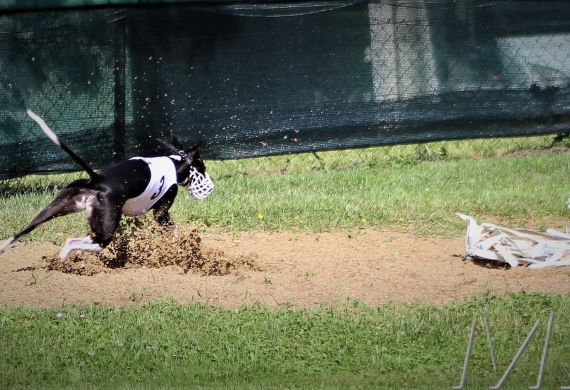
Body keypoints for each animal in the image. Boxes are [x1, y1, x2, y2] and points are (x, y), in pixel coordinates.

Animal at [0, 110, 213, 258]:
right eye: (202, 167)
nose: (210, 189)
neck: (176, 163)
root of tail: (97, 179)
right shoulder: (161, 212)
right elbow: (173, 228)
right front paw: (178, 243)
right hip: (106, 228)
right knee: (77, 242)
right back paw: (64, 256)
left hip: (53, 210)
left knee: (22, 234)